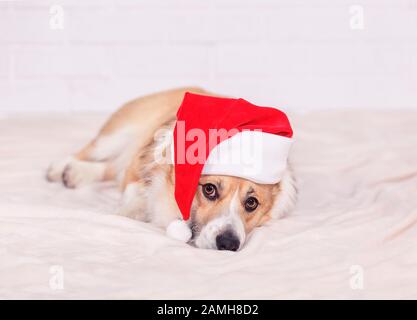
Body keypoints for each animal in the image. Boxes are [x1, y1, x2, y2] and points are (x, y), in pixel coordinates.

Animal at [46, 87, 296, 250]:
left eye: (251, 203)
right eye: (209, 190)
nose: (228, 243)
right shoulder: (142, 162)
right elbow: (134, 193)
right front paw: (129, 211)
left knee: (111, 168)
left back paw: (77, 174)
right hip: (117, 135)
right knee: (93, 152)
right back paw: (61, 168)